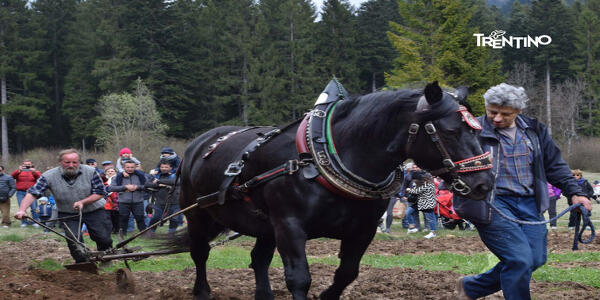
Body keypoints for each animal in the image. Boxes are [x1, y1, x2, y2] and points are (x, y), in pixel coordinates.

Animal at [176, 81, 494, 298]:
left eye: (476, 129)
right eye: (451, 131)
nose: (484, 183)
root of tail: (201, 142)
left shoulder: (362, 230)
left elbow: (346, 273)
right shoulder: (289, 226)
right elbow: (299, 278)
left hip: (264, 225)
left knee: (259, 260)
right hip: (198, 215)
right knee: (200, 253)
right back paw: (202, 291)